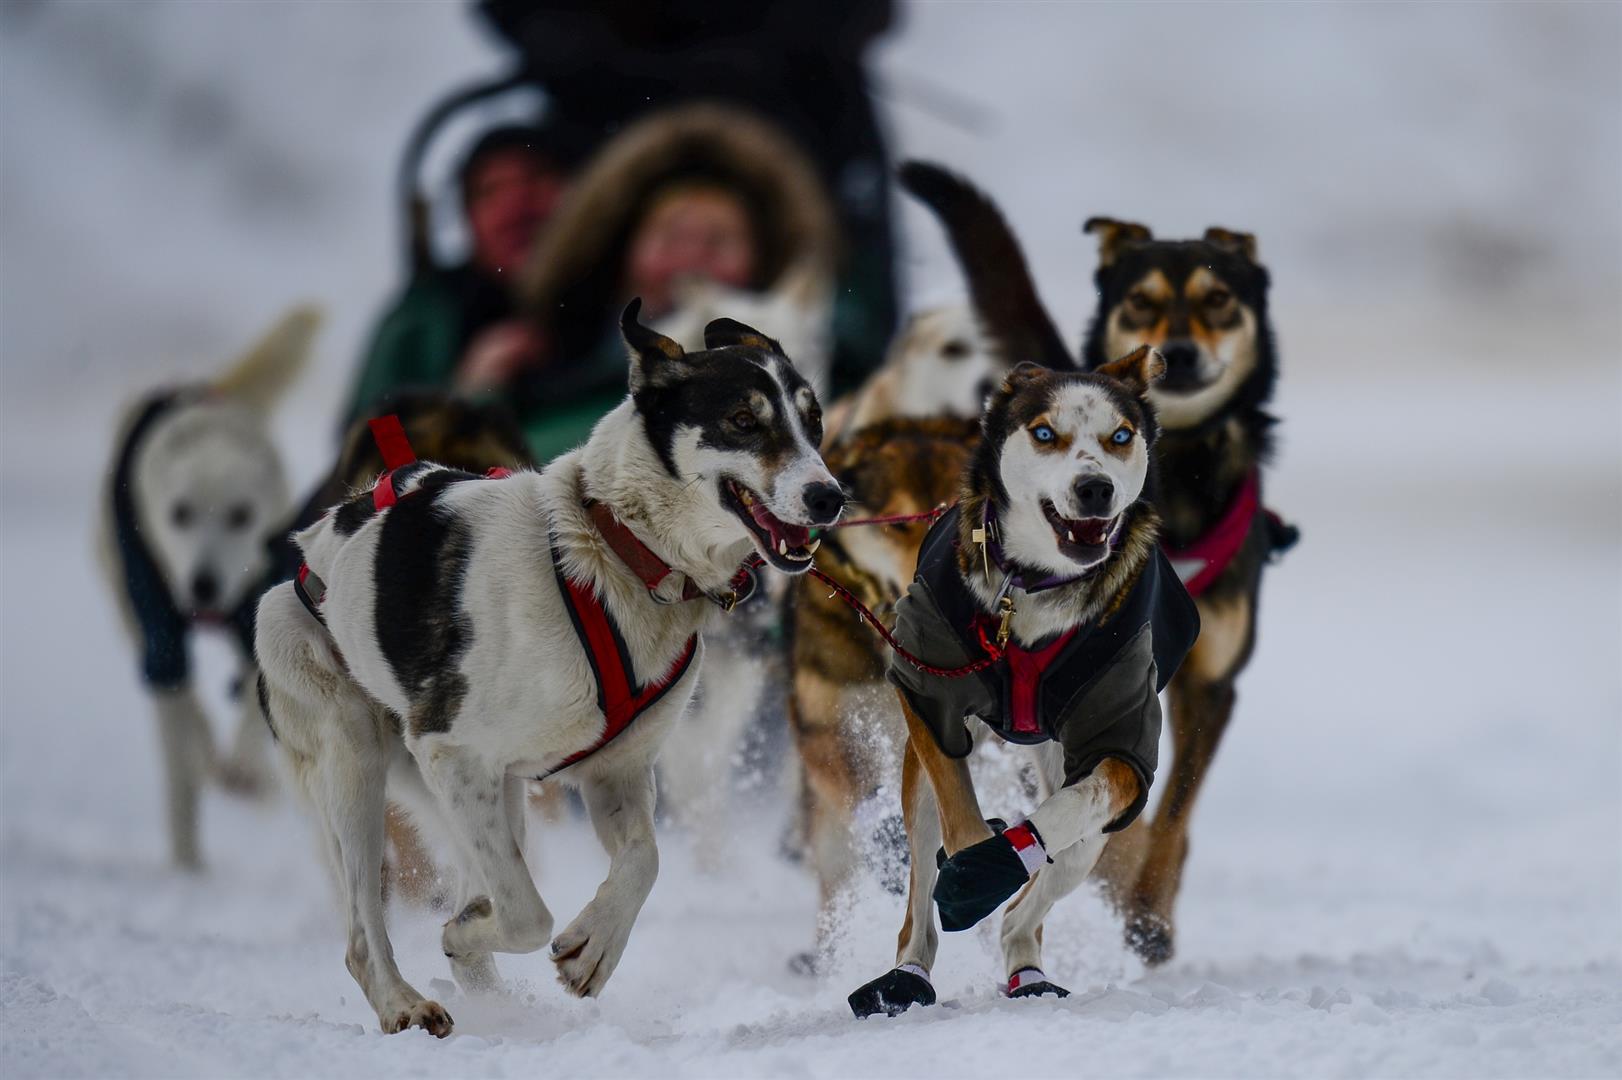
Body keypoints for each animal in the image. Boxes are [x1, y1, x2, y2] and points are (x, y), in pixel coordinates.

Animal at [100, 303, 319, 869]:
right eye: (180, 513)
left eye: (241, 515)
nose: (203, 584)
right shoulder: (160, 634)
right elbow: (179, 762)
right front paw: (187, 863)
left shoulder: (263, 611)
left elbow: (258, 694)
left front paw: (244, 767)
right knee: (187, 715)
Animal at [256, 300, 836, 1037]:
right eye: (743, 419)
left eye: (813, 422)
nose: (829, 496)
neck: (617, 554)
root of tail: (312, 551)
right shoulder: (451, 750)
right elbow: (529, 915)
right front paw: (482, 932)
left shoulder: (616, 770)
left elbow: (643, 860)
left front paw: (595, 945)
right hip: (354, 758)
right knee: (365, 931)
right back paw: (404, 1002)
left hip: (490, 795)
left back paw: (492, 997)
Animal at [843, 163, 1200, 1011]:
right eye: (1045, 434)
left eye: (1120, 436)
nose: (1095, 488)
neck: (1032, 594)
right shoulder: (929, 698)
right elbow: (960, 817)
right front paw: (974, 863)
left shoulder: (1120, 748)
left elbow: (1067, 815)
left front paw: (1002, 867)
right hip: (920, 770)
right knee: (920, 893)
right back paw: (909, 972)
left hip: (1071, 782)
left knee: (1050, 877)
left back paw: (1024, 959)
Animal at [1077, 214, 1304, 960]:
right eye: (1141, 301)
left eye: (1218, 299)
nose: (1175, 353)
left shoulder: (1209, 685)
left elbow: (1174, 809)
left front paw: (1149, 915)